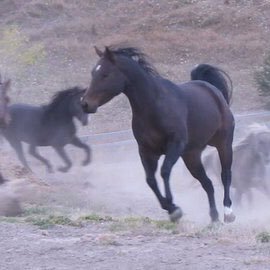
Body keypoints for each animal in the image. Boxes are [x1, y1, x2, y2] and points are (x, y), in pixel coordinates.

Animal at [81, 47, 235, 224]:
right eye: (93, 72)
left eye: (105, 74)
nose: (85, 104)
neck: (154, 106)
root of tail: (212, 90)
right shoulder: (146, 151)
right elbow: (150, 180)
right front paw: (171, 208)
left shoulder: (175, 145)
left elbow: (165, 171)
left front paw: (173, 206)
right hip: (192, 156)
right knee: (207, 183)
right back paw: (214, 218)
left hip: (224, 145)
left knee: (225, 175)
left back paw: (228, 213)